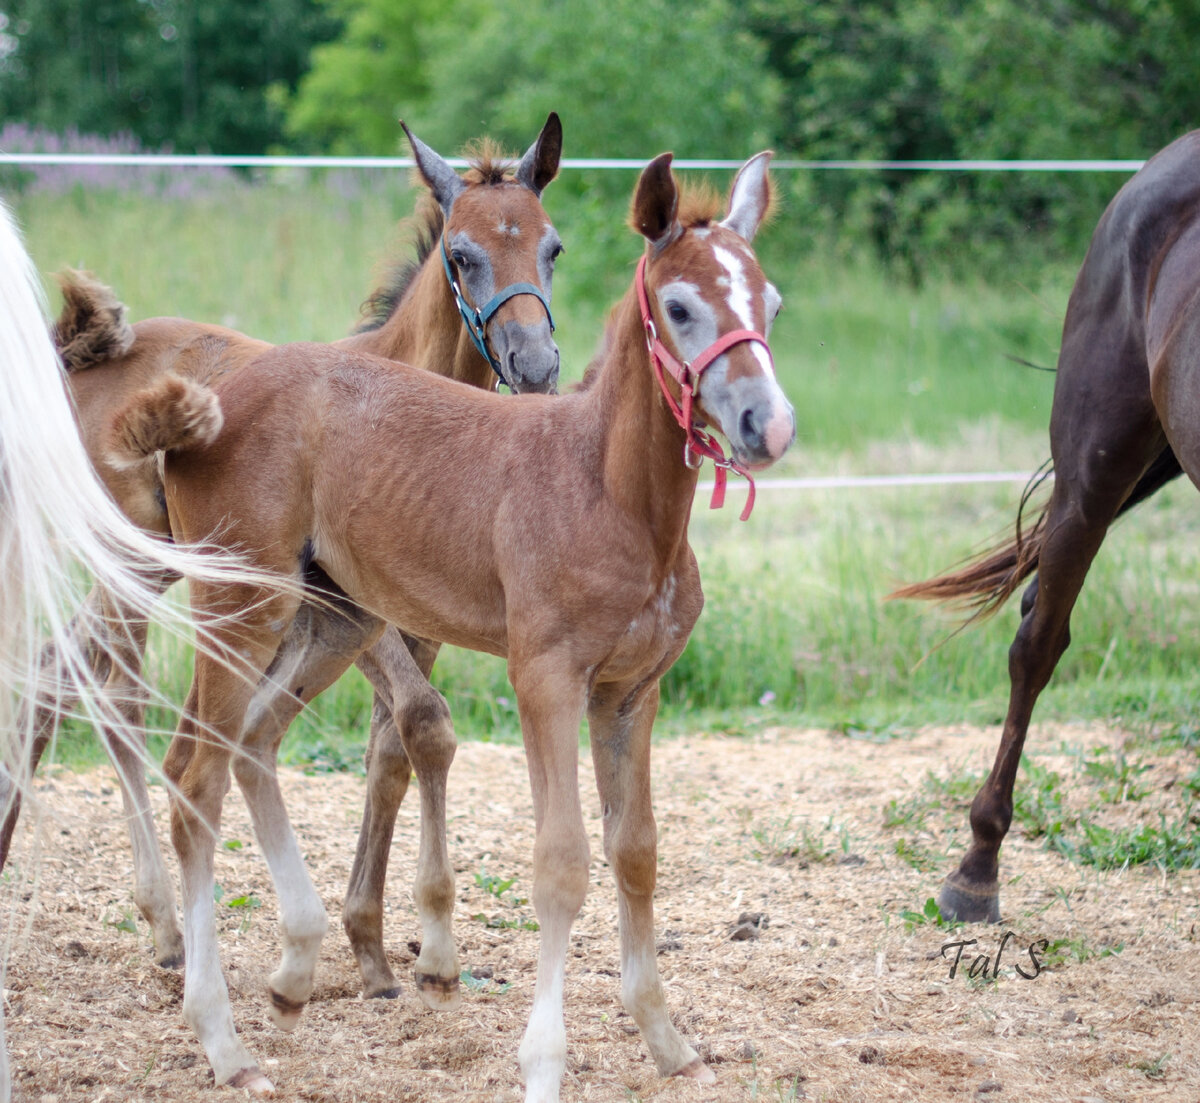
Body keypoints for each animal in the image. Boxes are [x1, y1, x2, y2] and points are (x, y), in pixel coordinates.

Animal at [1, 114, 561, 998]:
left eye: (552, 247)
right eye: (463, 253)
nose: (536, 365)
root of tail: (84, 353)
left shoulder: (411, 621)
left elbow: (392, 747)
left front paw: (373, 946)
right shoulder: (354, 609)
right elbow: (426, 723)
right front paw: (425, 944)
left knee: (70, 676)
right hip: (144, 566)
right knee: (97, 687)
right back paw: (165, 923)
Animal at [119, 151, 796, 1099]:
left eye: (770, 304)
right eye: (680, 307)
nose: (766, 424)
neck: (611, 491)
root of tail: (208, 401)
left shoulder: (632, 691)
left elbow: (635, 851)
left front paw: (667, 1040)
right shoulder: (545, 677)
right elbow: (561, 863)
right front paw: (544, 1062)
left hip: (333, 619)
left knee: (252, 741)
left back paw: (296, 969)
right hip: (243, 604)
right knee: (194, 771)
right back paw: (221, 1036)